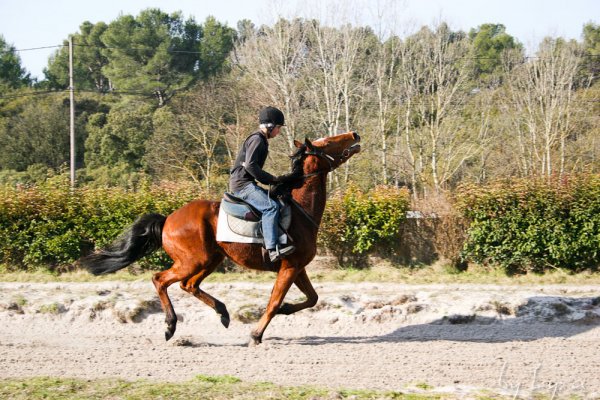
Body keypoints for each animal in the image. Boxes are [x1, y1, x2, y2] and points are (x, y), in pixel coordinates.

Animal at [79, 131, 360, 344]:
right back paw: (171, 325)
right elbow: (274, 301)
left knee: (188, 285)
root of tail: (168, 218)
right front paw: (256, 334)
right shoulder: (290, 266)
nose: (354, 135)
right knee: (160, 280)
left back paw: (222, 312)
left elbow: (312, 298)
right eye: (327, 142)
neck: (302, 209)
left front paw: (286, 309)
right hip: (192, 261)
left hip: (210, 259)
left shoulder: (297, 267)